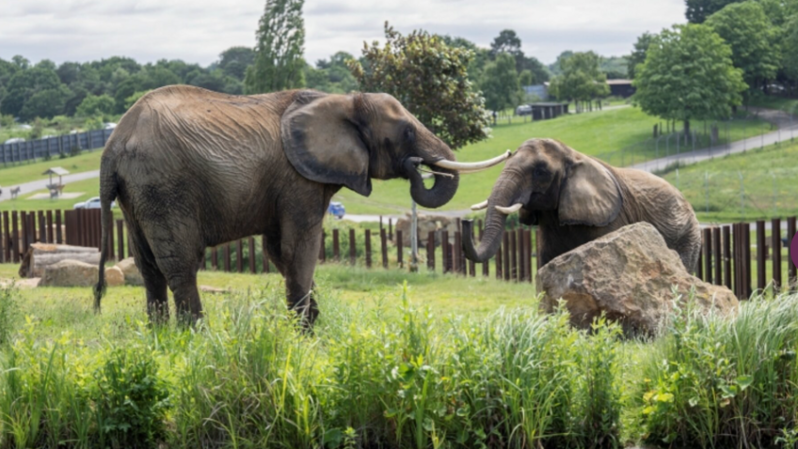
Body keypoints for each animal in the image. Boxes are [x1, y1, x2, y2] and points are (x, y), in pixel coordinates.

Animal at [94, 86, 506, 324]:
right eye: (406, 133)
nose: (417, 165)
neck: (341, 100)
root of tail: (112, 146)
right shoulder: (298, 180)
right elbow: (299, 247)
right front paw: (303, 333)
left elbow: (279, 251)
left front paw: (311, 323)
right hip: (163, 186)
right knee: (180, 264)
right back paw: (196, 334)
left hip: (138, 194)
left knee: (148, 265)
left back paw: (162, 337)